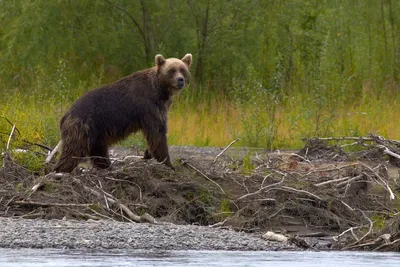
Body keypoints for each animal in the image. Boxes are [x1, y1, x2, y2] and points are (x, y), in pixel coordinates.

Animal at [53, 54, 192, 174]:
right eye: (171, 70)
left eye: (183, 69)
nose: (180, 80)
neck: (161, 91)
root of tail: (66, 114)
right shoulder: (149, 106)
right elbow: (158, 133)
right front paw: (168, 163)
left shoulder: (161, 106)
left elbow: (155, 135)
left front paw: (148, 154)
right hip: (82, 126)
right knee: (73, 150)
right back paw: (60, 170)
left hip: (96, 133)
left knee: (98, 150)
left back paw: (106, 166)